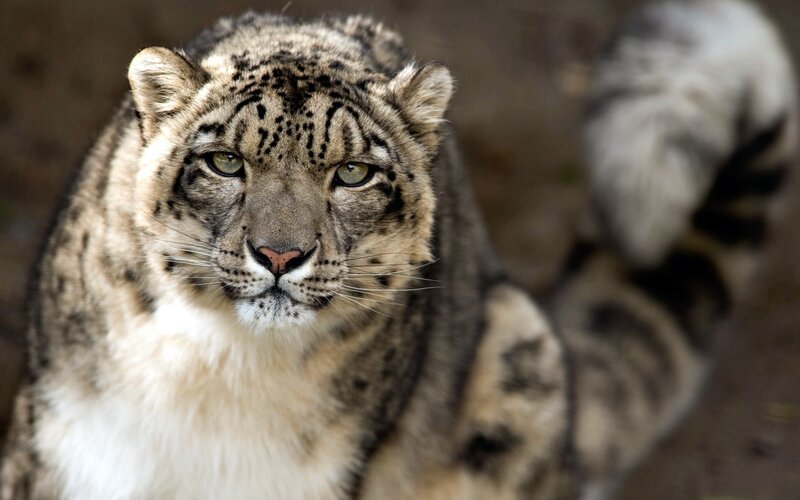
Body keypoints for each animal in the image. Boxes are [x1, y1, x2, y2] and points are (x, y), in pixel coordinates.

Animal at [1, 0, 796, 498]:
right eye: (225, 162)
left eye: (354, 173)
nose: (280, 255)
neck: (216, 374)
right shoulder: (57, 448)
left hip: (520, 362)